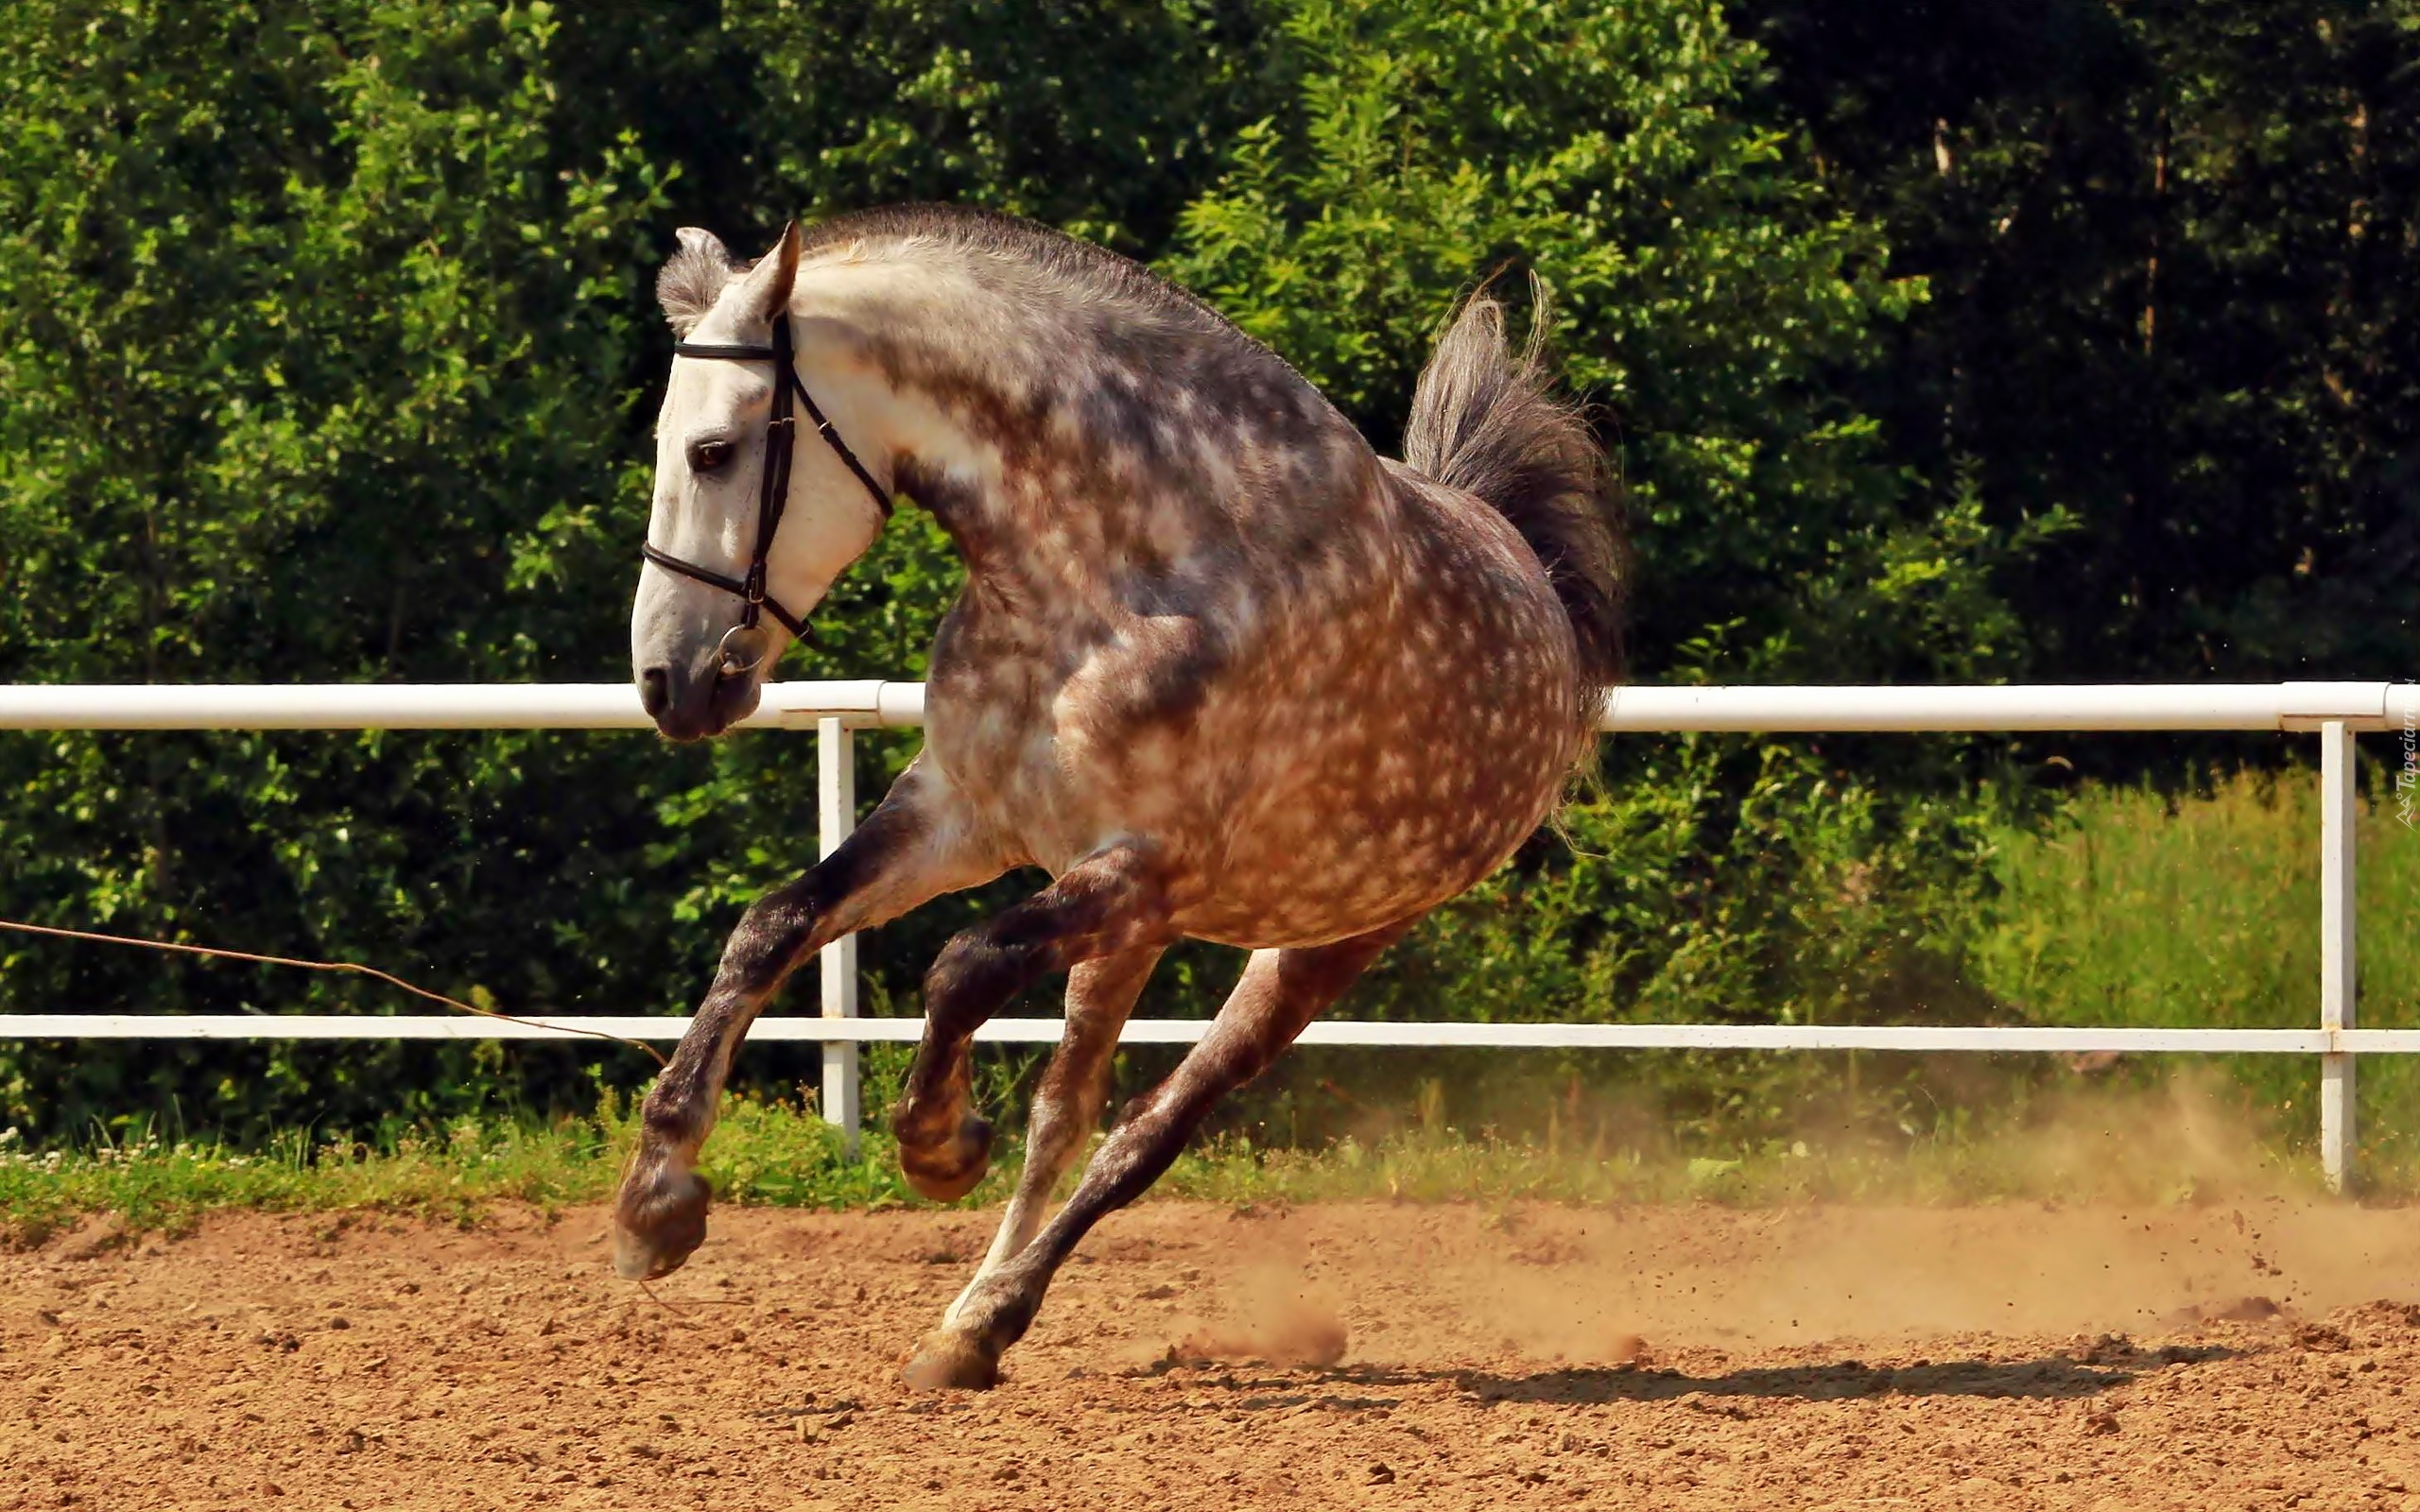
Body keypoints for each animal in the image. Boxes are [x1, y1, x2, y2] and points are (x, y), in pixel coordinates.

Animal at [614, 206, 1616, 1383]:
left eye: (715, 452)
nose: (669, 683)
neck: (1114, 575)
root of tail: (1527, 572)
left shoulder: (1144, 868)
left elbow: (962, 965)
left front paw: (939, 1144)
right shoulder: (961, 813)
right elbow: (773, 926)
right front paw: (657, 1201)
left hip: (1312, 945)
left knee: (1144, 1129)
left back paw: (990, 1312)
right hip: (1131, 936)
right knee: (1066, 1111)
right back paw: (964, 1324)